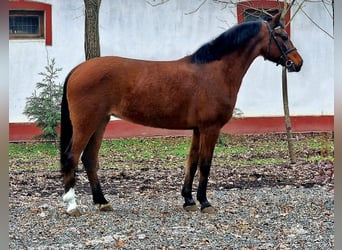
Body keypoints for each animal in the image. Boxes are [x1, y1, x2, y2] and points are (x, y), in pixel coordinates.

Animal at [60, 13, 302, 216]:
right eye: (282, 36)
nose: (298, 63)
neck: (215, 71)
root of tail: (78, 69)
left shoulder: (197, 129)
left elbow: (191, 163)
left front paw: (189, 200)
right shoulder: (210, 128)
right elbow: (205, 164)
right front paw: (205, 202)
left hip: (101, 121)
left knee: (89, 158)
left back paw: (102, 201)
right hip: (87, 123)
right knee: (72, 156)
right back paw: (72, 205)